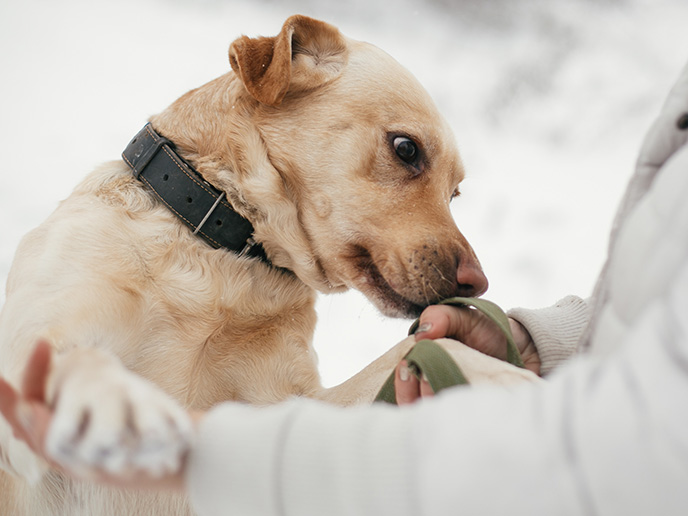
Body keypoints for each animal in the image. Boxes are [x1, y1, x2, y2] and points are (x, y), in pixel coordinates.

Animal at [0, 16, 536, 516]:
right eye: (406, 148)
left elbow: (426, 347)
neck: (225, 262)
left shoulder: (289, 413)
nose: (478, 283)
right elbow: (75, 358)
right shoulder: (31, 353)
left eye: (455, 193)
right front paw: (117, 403)